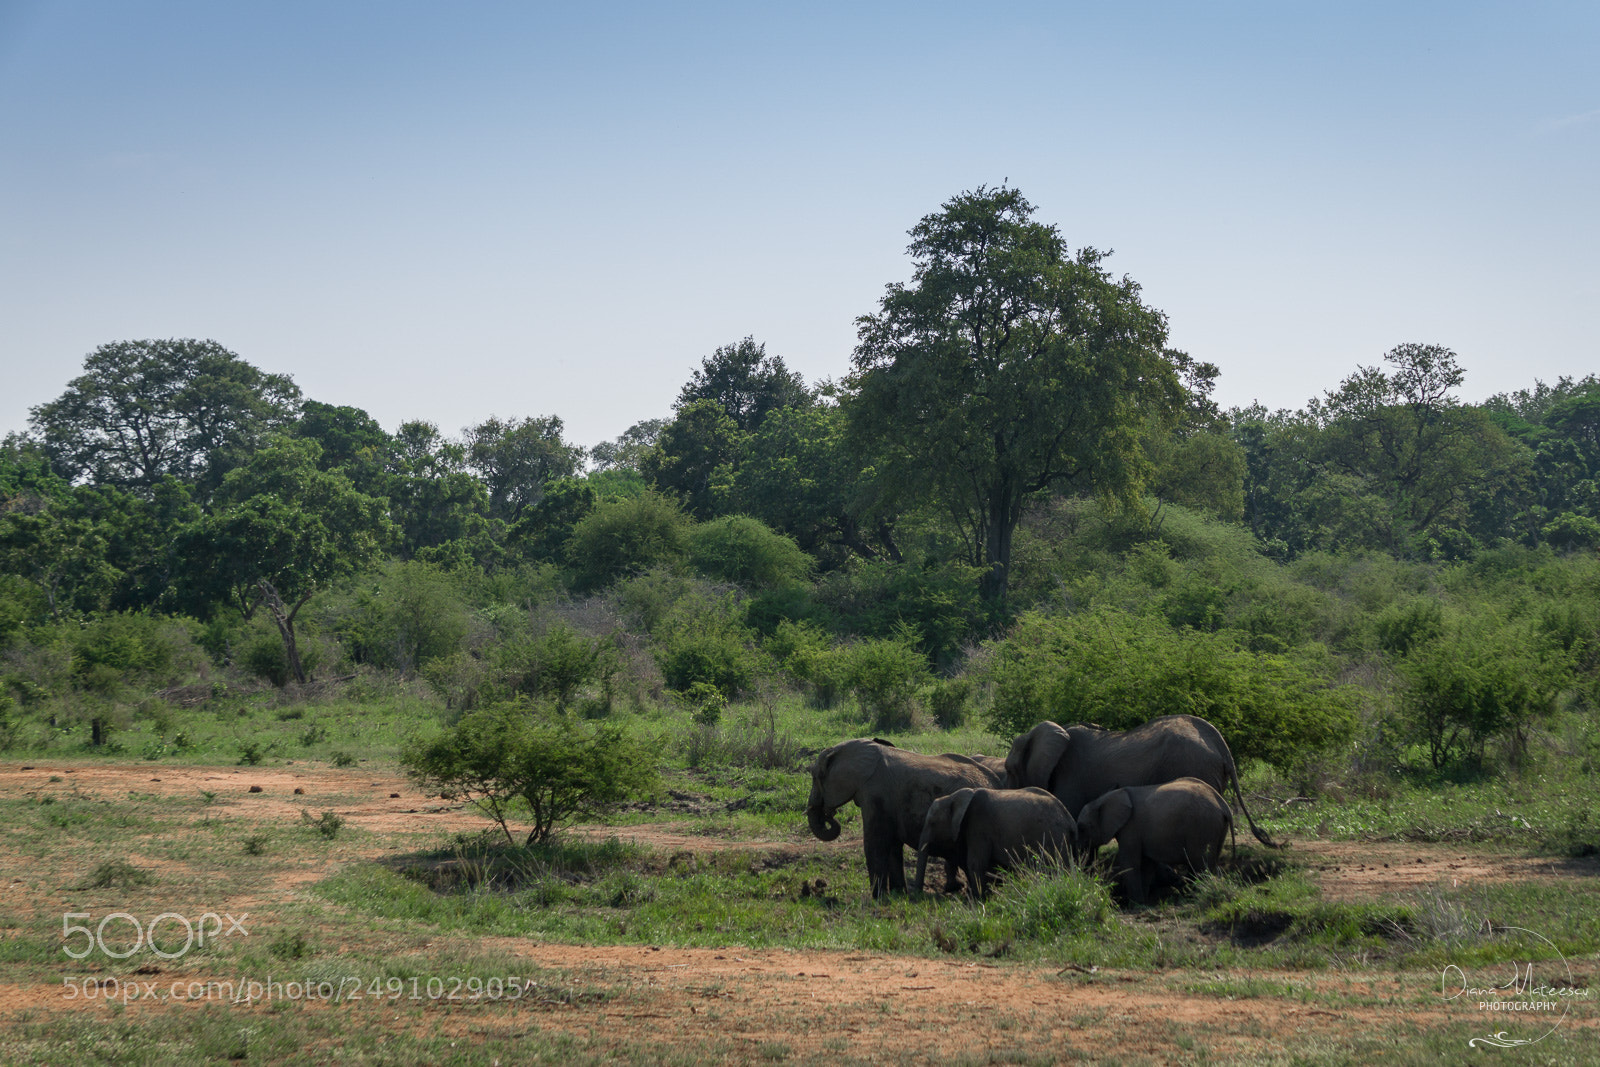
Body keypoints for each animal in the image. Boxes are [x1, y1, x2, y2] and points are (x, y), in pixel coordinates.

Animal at [806, 738, 1003, 897]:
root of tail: (997, 783)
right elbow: (893, 845)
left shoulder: (876, 793)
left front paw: (878, 897)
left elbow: (875, 842)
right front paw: (897, 894)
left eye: (816, 777)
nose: (829, 814)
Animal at [913, 786, 1077, 899]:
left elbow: (975, 863)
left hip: (1054, 838)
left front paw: (977, 899)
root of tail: (1069, 819)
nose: (918, 895)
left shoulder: (979, 826)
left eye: (932, 823)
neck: (954, 796)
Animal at [1075, 777, 1233, 904]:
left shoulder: (1130, 828)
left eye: (1081, 828)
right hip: (1214, 827)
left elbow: (1130, 862)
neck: (1103, 799)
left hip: (1202, 826)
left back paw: (1196, 896)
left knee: (1201, 863)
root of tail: (1224, 805)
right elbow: (1147, 864)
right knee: (1210, 863)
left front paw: (1136, 904)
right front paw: (1144, 901)